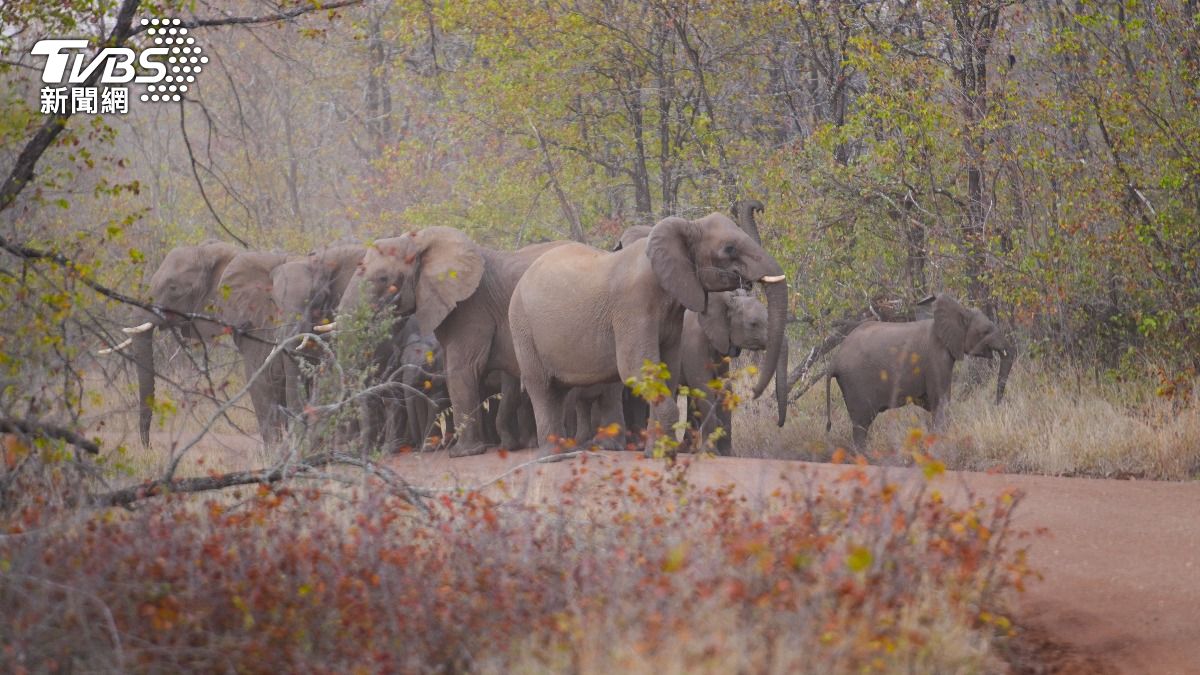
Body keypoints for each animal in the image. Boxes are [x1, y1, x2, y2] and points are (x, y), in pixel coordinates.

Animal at [333, 227, 566, 456]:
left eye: (382, 278)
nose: (414, 448)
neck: (420, 241)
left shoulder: (473, 308)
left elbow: (461, 369)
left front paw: (463, 453)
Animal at [511, 210, 792, 454]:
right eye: (730, 248)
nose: (754, 394)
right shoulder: (633, 307)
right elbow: (638, 370)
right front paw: (663, 453)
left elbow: (668, 371)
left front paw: (660, 451)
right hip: (521, 327)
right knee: (542, 387)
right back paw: (554, 455)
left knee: (562, 391)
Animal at [820, 290, 1008, 444]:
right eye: (985, 331)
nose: (996, 404)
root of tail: (834, 361)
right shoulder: (936, 358)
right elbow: (941, 401)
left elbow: (931, 403)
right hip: (856, 383)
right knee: (861, 425)